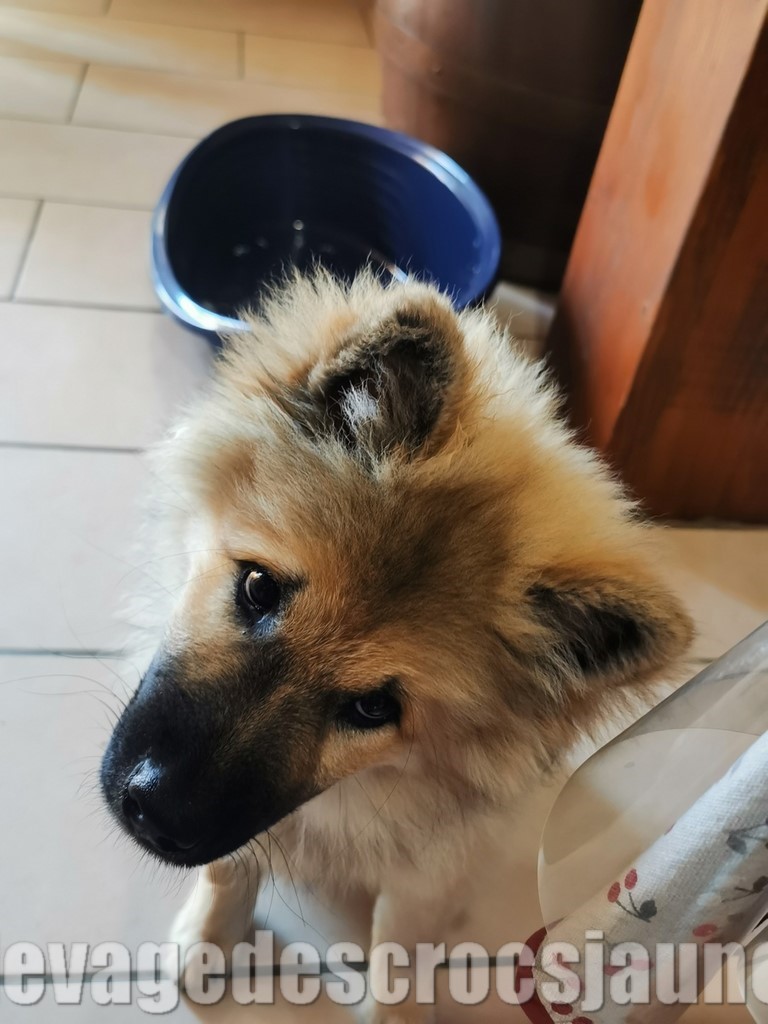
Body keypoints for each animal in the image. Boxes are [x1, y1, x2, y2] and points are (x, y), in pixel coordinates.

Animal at [101, 269, 692, 1021]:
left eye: (373, 709)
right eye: (258, 587)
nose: (155, 815)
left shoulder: (427, 869)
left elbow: (401, 947)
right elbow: (228, 869)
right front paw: (208, 943)